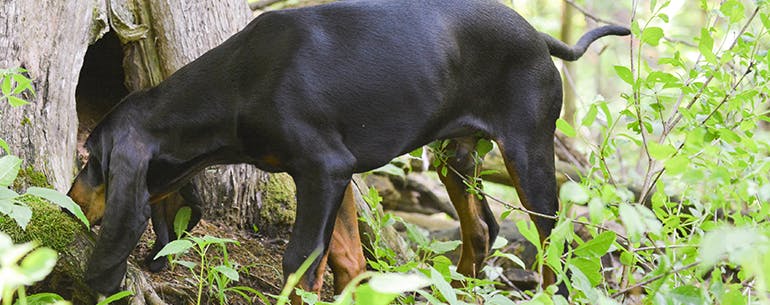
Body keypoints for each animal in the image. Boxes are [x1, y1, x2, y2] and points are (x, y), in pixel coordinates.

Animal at [69, 0, 628, 300]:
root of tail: (539, 37)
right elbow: (347, 259)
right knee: (481, 231)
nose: (69, 200)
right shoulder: (337, 179)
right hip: (457, 157)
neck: (238, 82)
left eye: (91, 160)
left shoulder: (323, 171)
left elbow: (300, 261)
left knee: (554, 241)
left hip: (528, 152)